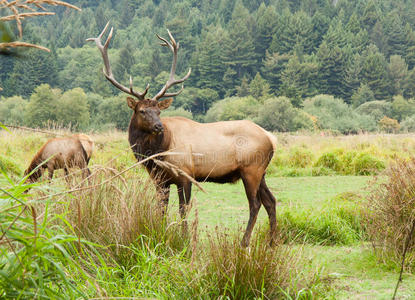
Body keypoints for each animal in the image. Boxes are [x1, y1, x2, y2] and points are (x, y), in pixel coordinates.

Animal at [88, 23, 280, 247]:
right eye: (142, 111)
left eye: (159, 111)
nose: (159, 127)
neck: (158, 154)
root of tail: (271, 138)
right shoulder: (160, 180)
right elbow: (161, 209)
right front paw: (162, 235)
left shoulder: (186, 173)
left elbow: (183, 210)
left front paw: (185, 240)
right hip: (261, 171)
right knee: (271, 201)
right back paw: (271, 242)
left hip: (251, 169)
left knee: (255, 203)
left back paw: (244, 242)